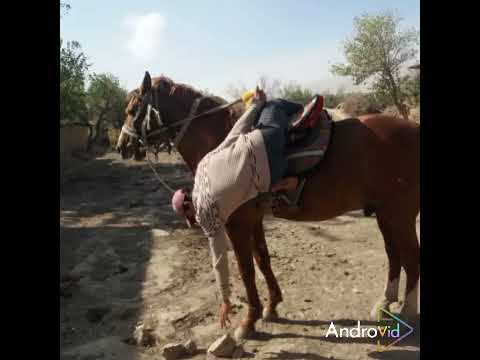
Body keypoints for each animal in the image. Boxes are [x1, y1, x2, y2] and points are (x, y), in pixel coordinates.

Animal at [116, 71, 420, 338]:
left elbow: (245, 269)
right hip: (385, 214)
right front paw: (272, 306)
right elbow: (262, 259)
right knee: (394, 254)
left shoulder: (236, 223)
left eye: (132, 109)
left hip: (400, 215)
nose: (122, 146)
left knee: (411, 258)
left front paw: (248, 321)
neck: (219, 138)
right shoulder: (254, 219)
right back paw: (384, 303)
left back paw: (406, 311)